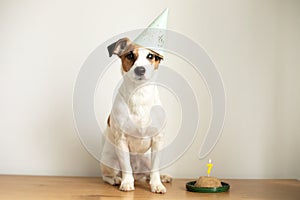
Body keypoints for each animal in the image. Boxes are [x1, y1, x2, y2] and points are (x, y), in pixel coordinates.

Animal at [100, 37, 171, 194]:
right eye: (130, 55)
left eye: (150, 56)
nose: (140, 69)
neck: (139, 94)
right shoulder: (121, 140)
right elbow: (126, 167)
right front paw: (127, 182)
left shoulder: (158, 140)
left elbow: (155, 170)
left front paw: (157, 184)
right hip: (110, 161)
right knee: (107, 176)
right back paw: (116, 179)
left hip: (146, 160)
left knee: (148, 173)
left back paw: (163, 177)